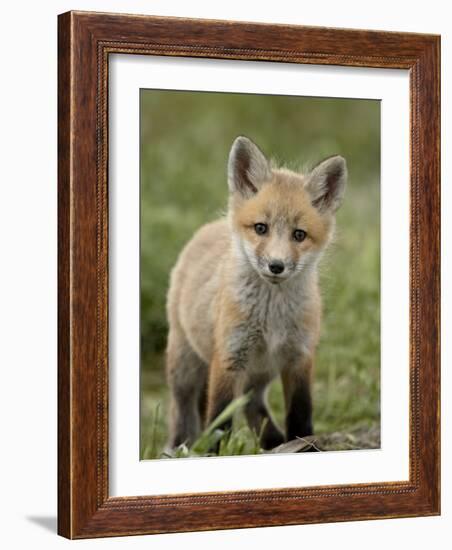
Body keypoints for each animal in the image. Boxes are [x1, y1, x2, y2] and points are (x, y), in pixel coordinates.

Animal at [166, 137, 346, 452]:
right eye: (261, 228)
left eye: (299, 235)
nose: (276, 266)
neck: (271, 317)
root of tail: (209, 227)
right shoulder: (228, 357)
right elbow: (218, 421)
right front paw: (213, 456)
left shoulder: (299, 357)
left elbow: (300, 416)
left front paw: (304, 445)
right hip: (185, 367)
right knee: (183, 412)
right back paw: (179, 449)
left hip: (260, 374)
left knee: (253, 406)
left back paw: (274, 443)